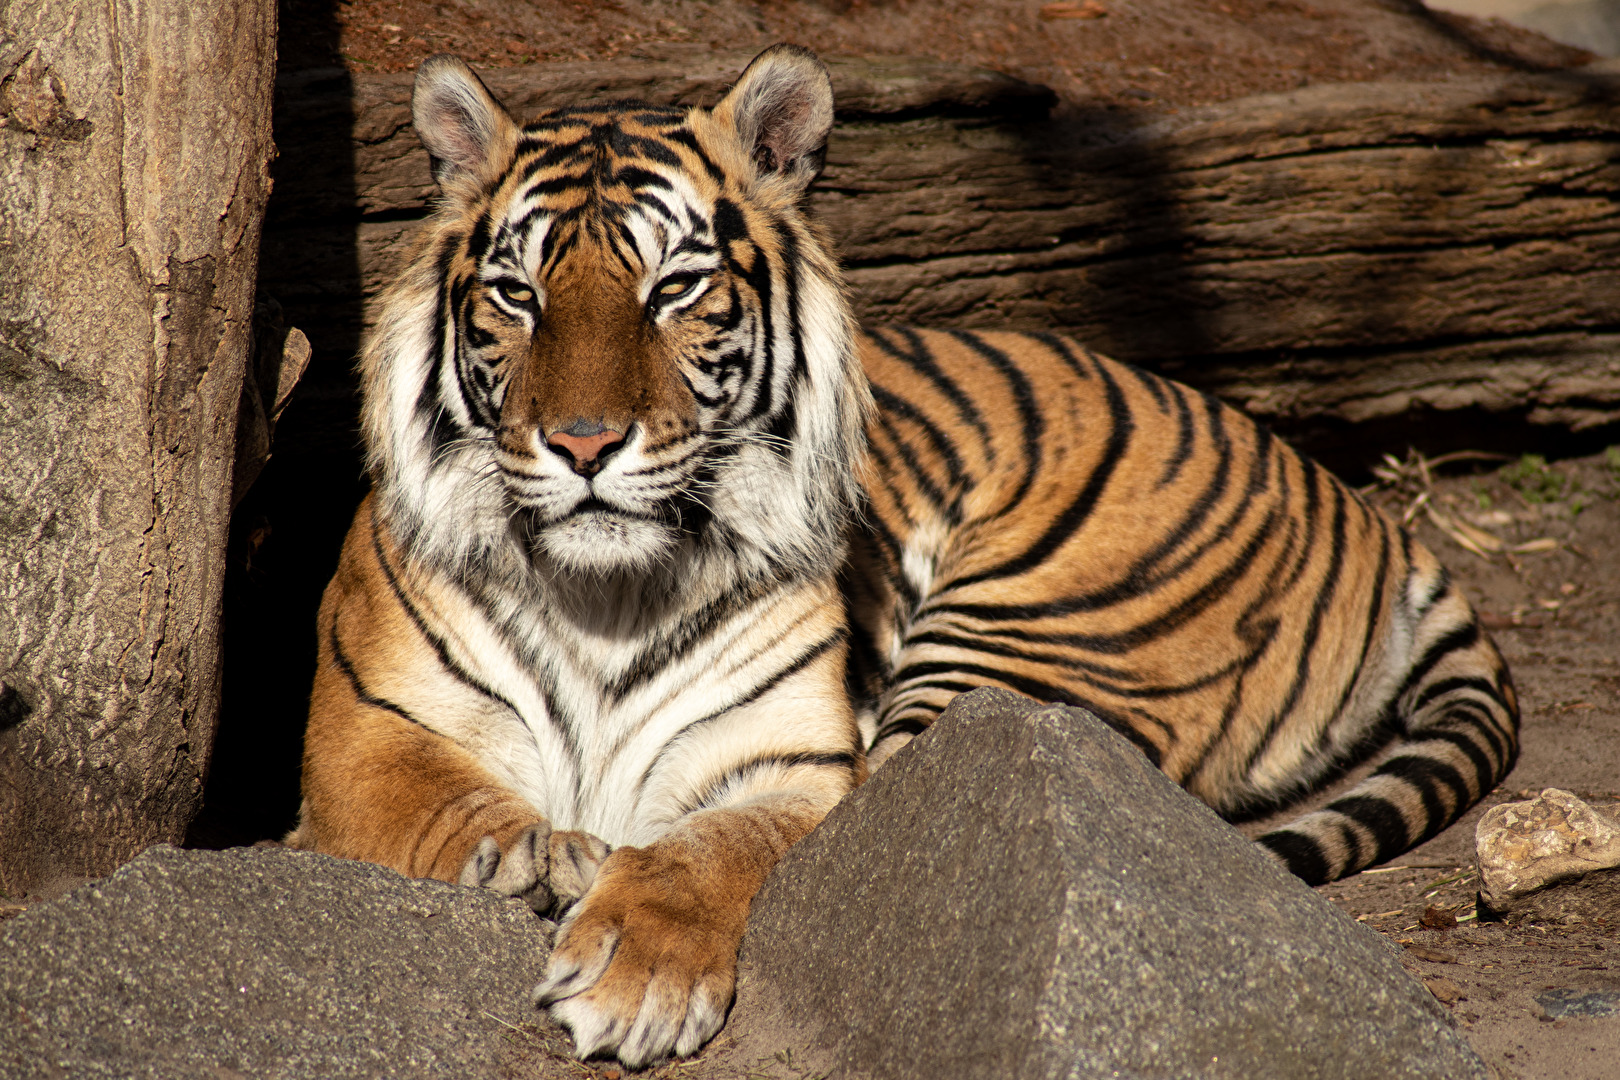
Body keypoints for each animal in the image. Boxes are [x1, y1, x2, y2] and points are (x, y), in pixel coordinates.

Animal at [287, 43, 1519, 1068]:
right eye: (518, 294)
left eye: (674, 288)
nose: (584, 444)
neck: (608, 590)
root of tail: (1364, 508)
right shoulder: (362, 730)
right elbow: (443, 807)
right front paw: (536, 858)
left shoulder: (788, 764)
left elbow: (713, 850)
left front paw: (632, 969)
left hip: (1020, 638)